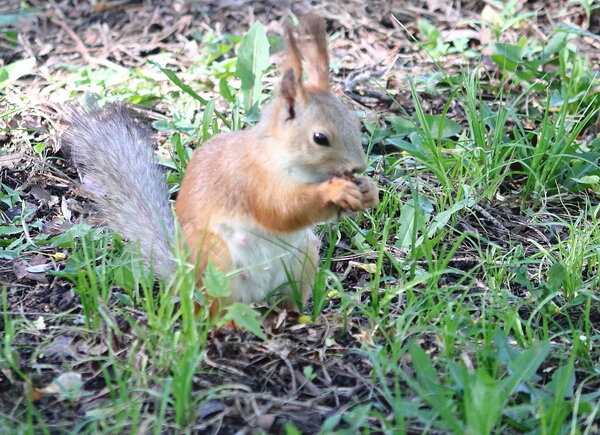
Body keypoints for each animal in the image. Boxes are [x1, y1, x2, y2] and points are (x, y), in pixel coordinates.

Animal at [62, 13, 380, 314]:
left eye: (354, 122)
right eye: (320, 138)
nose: (358, 167)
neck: (285, 159)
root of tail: (184, 280)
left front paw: (368, 191)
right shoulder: (249, 179)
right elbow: (281, 211)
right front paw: (335, 190)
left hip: (304, 258)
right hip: (217, 262)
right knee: (216, 312)